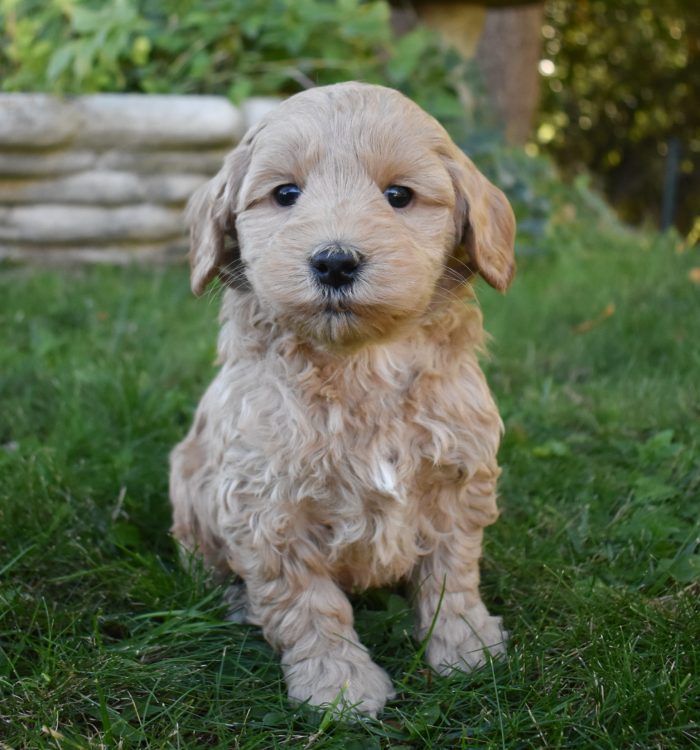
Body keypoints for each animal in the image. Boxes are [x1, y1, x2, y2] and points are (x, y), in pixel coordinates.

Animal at [171, 81, 516, 716]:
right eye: (286, 194)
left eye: (399, 196)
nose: (334, 260)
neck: (361, 364)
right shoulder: (267, 507)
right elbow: (307, 603)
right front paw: (339, 685)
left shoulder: (458, 479)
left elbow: (452, 574)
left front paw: (467, 648)